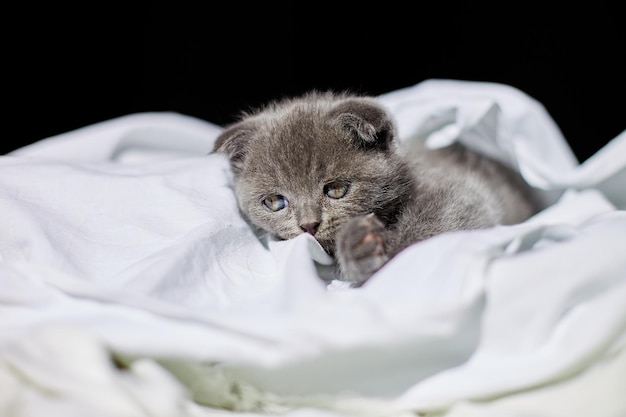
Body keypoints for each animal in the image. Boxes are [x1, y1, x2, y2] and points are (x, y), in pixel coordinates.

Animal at [212, 91, 540, 286]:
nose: (308, 225)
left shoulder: (460, 192)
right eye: (275, 201)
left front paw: (378, 250)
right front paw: (360, 250)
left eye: (336, 189)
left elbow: (438, 222)